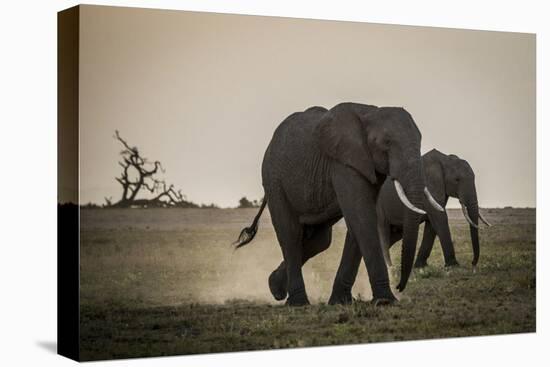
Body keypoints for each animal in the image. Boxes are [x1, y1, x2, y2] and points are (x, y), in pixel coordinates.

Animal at [233, 102, 444, 306]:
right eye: (387, 143)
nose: (399, 287)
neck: (370, 112)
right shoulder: (343, 163)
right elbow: (361, 217)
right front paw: (385, 301)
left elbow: (360, 221)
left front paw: (341, 302)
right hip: (274, 180)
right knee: (290, 235)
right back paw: (298, 303)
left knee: (319, 241)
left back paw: (275, 287)